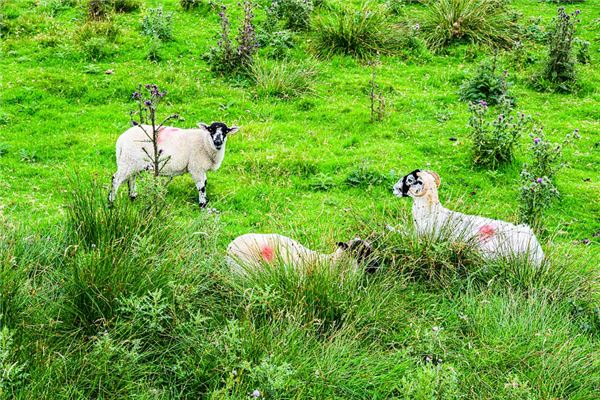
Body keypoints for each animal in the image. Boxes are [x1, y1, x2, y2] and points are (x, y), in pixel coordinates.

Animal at [108, 120, 239, 208]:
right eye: (211, 130)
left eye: (225, 131)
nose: (218, 142)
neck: (205, 142)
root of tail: (121, 140)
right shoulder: (196, 167)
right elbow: (201, 187)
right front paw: (202, 206)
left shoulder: (201, 169)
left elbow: (205, 184)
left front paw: (204, 203)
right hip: (128, 161)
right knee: (116, 179)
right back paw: (111, 203)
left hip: (132, 162)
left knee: (131, 179)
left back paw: (133, 198)